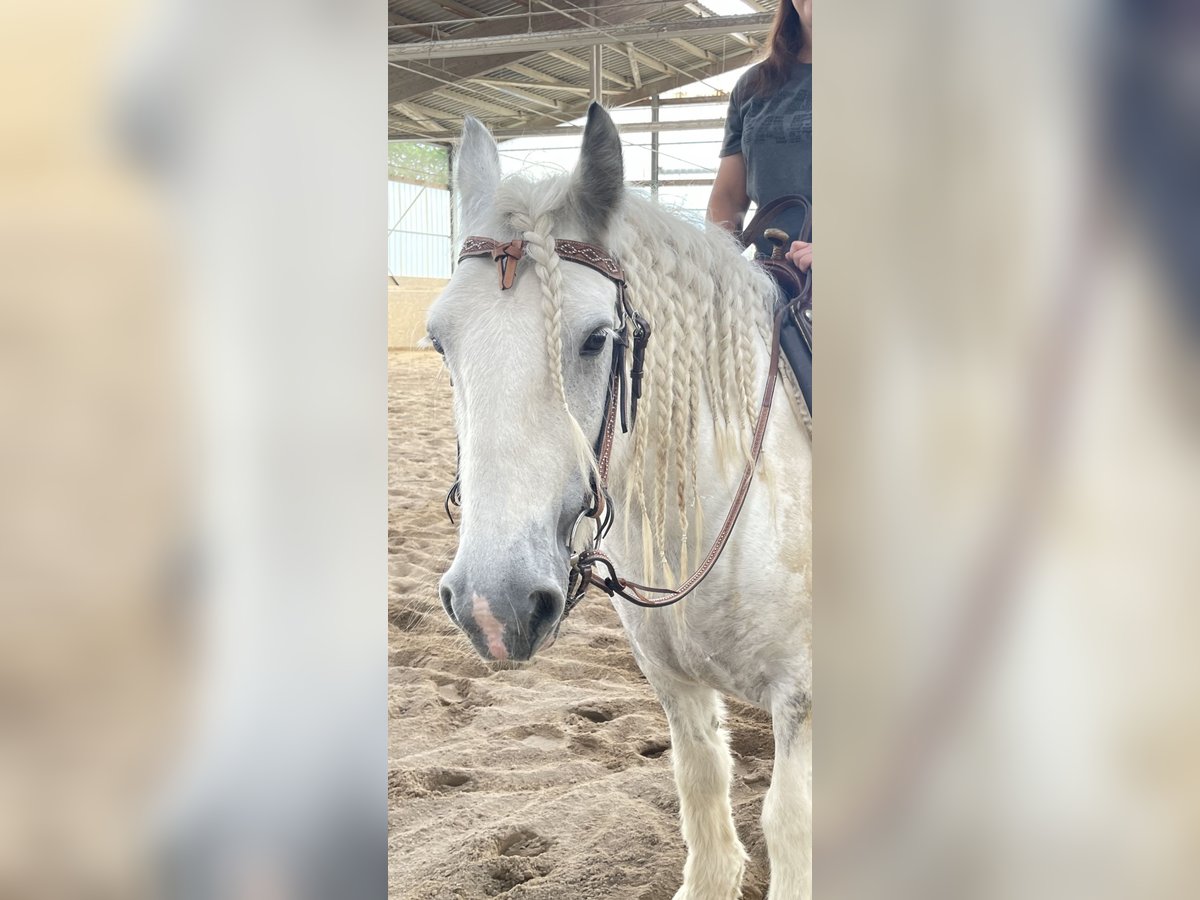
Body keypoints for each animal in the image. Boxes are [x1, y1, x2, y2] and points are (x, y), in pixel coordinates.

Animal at [427, 107, 811, 900]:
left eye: (596, 339)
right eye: (440, 342)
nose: (493, 606)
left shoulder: (806, 700)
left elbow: (789, 825)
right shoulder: (676, 686)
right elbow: (703, 795)